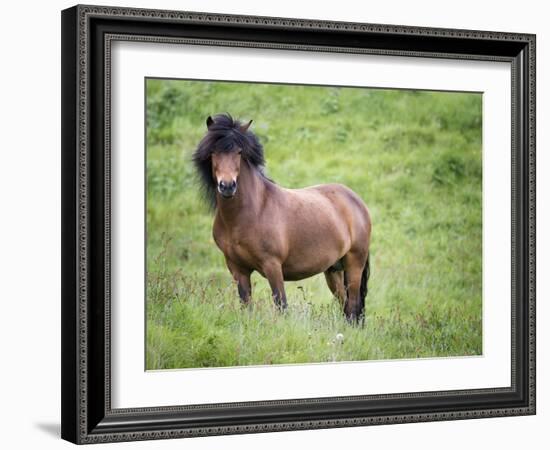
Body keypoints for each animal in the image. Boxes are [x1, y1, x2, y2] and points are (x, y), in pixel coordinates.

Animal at [194, 114, 376, 322]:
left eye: (239, 152)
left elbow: (281, 305)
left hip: (354, 264)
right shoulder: (237, 269)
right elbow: (246, 305)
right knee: (345, 304)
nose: (227, 186)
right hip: (333, 270)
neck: (250, 213)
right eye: (213, 151)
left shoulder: (272, 266)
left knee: (352, 306)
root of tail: (356, 201)